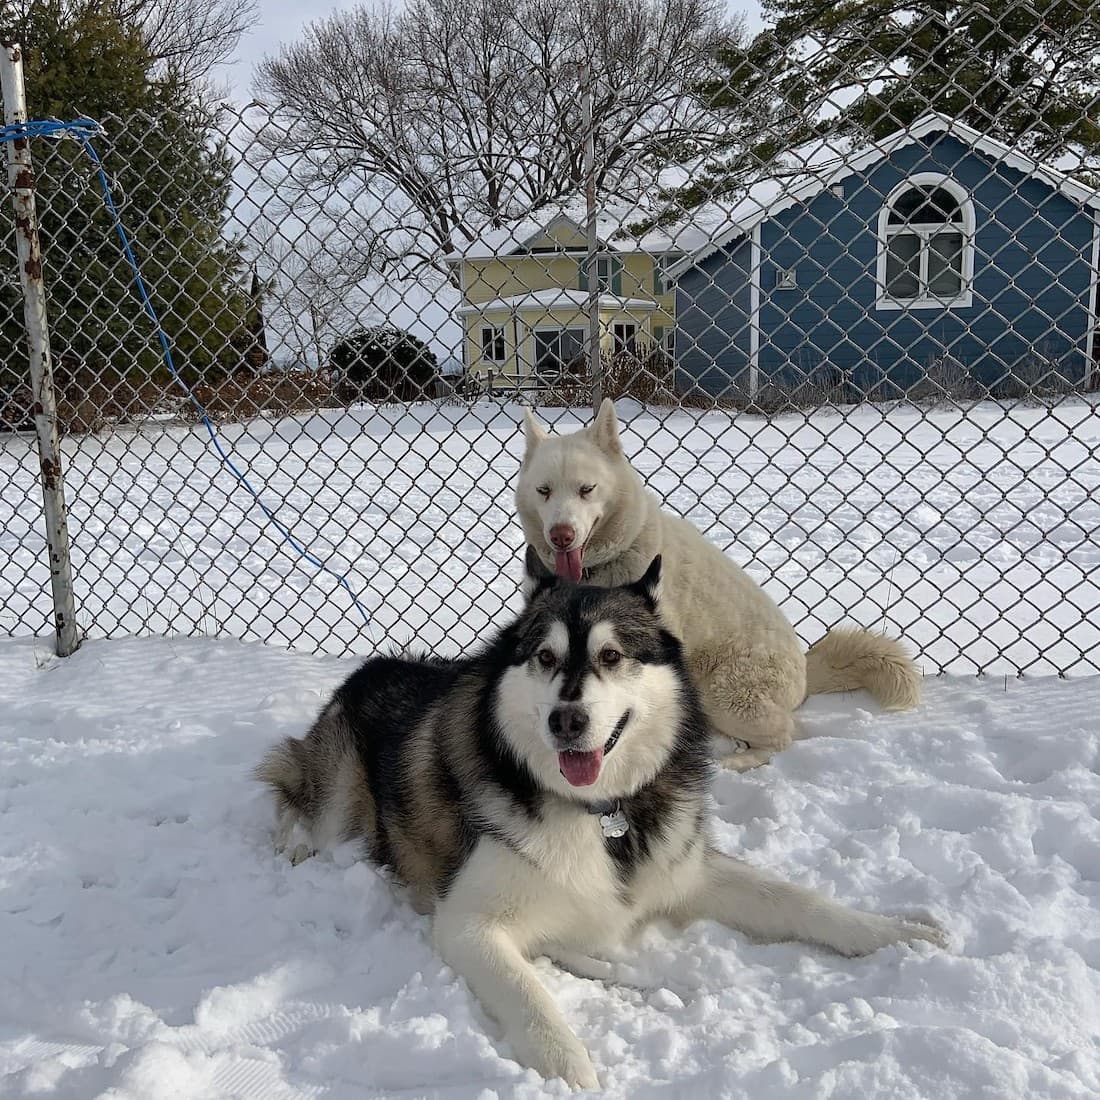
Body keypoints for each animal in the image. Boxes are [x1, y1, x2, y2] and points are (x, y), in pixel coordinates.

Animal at [257, 550, 946, 1091]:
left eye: (612, 656)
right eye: (544, 658)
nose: (567, 720)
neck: (603, 813)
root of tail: (374, 664)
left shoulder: (685, 868)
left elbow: (798, 900)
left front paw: (894, 932)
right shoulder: (466, 921)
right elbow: (529, 996)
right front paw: (570, 1070)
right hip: (337, 793)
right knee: (292, 798)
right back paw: (294, 848)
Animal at [514, 400, 919, 770]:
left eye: (586, 489)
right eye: (544, 490)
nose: (561, 535)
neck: (594, 571)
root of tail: (805, 671)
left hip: (724, 694)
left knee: (782, 736)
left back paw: (733, 762)